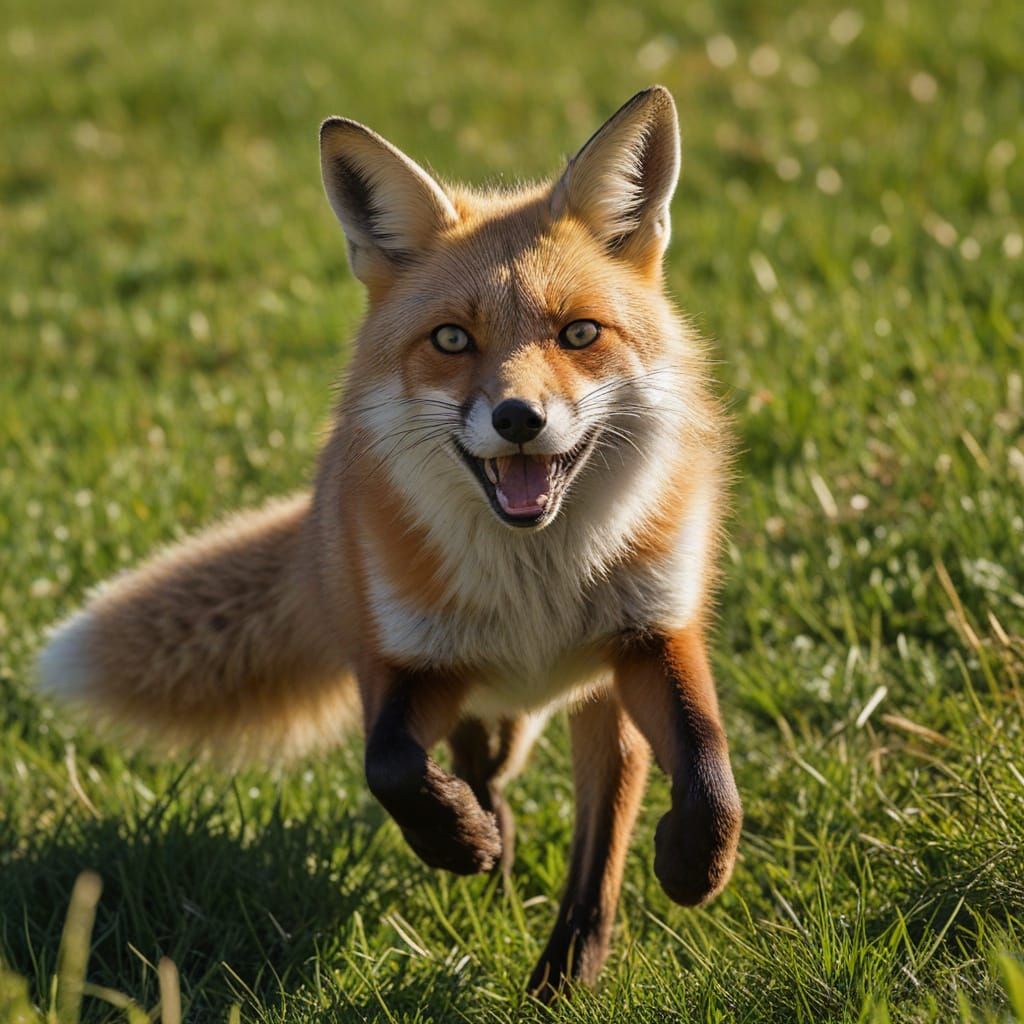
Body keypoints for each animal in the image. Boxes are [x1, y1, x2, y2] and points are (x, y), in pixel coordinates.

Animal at [37, 86, 742, 998]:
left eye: (579, 334)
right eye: (451, 340)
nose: (519, 418)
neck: (537, 588)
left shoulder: (652, 638)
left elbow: (709, 768)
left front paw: (695, 866)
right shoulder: (408, 665)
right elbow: (391, 765)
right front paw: (458, 842)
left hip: (595, 707)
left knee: (599, 833)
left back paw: (565, 969)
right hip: (483, 697)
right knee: (481, 769)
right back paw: (492, 845)